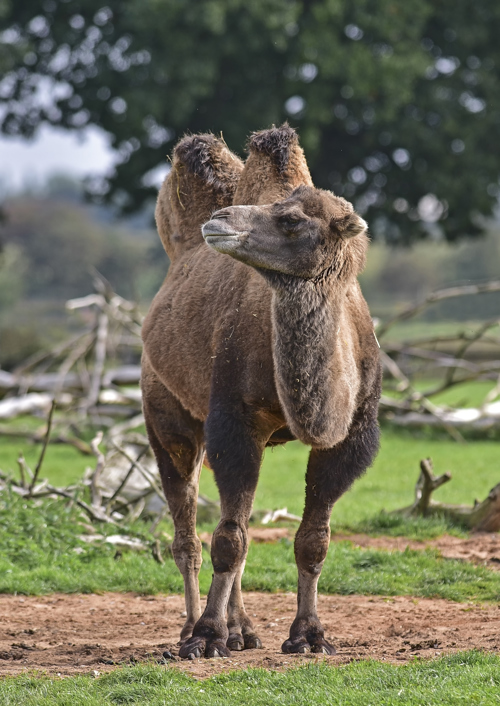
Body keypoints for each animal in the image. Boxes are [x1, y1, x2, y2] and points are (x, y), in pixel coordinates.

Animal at [141, 125, 381, 659]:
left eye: (290, 219)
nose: (217, 221)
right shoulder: (234, 419)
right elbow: (228, 540)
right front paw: (206, 637)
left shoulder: (351, 435)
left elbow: (312, 540)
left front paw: (309, 635)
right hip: (165, 415)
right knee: (188, 532)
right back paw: (193, 629)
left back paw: (243, 631)